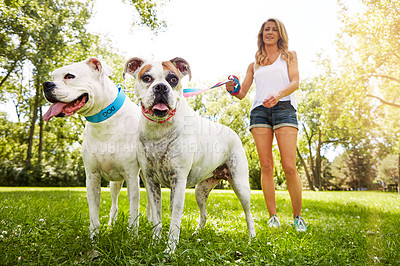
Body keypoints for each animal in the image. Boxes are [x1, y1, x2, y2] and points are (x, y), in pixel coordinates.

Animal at [42, 57, 141, 237]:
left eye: (69, 76)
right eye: (53, 76)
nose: (46, 84)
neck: (103, 120)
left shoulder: (132, 177)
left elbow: (133, 211)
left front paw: (132, 237)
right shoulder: (92, 177)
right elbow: (94, 212)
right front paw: (94, 237)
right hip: (115, 182)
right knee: (114, 205)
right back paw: (111, 226)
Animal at [122, 57, 256, 252]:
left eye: (173, 79)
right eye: (146, 78)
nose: (161, 87)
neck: (159, 130)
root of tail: (232, 132)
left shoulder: (178, 182)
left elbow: (175, 219)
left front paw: (170, 250)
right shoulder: (151, 182)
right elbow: (157, 218)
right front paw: (155, 243)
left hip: (240, 185)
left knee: (248, 214)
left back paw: (252, 238)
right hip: (201, 191)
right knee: (204, 214)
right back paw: (197, 233)